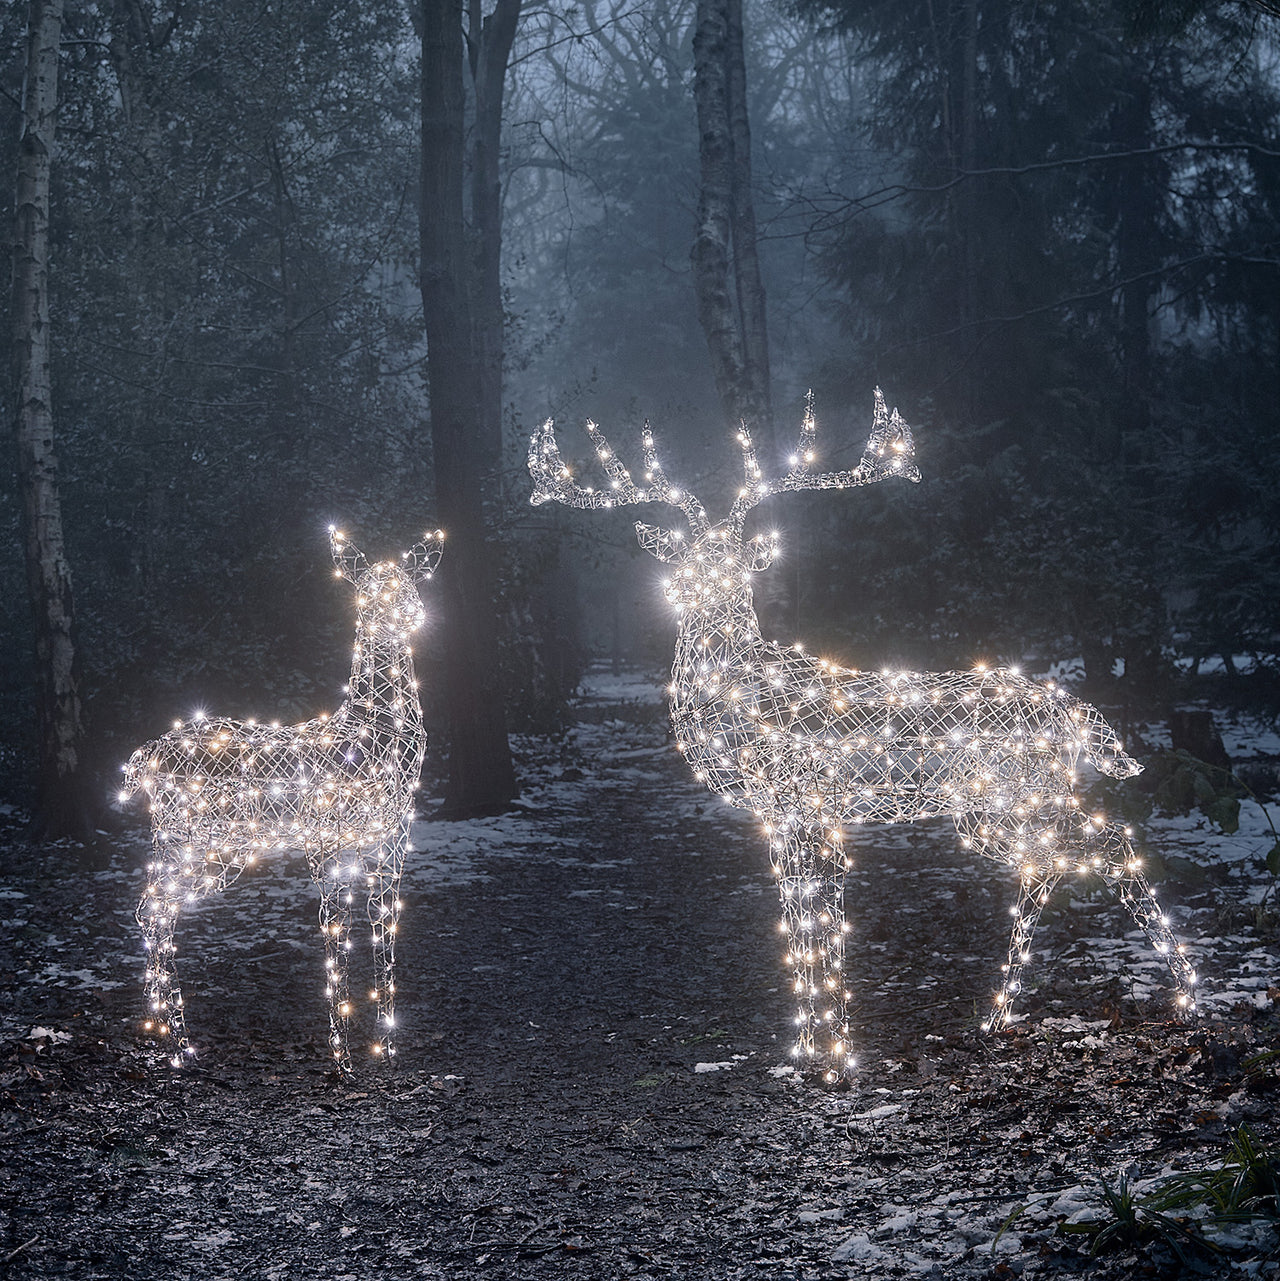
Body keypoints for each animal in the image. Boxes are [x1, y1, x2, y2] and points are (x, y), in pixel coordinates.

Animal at [121, 525, 440, 1065]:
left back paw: (158, 1029)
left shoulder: (390, 844)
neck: (372, 732)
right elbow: (337, 937)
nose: (415, 614)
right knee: (155, 909)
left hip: (183, 844)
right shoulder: (328, 843)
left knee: (151, 908)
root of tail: (142, 761)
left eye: (409, 582)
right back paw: (180, 1041)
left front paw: (386, 1048)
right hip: (200, 843)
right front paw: (343, 1058)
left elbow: (383, 932)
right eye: (370, 590)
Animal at [525, 391, 1194, 1081]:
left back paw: (1174, 998)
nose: (690, 588)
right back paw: (1012, 1013)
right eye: (684, 557)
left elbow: (820, 920)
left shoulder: (804, 804)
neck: (742, 688)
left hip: (1012, 797)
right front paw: (804, 1048)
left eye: (733, 562)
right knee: (1070, 855)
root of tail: (1074, 710)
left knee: (1098, 845)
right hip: (1008, 805)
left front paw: (836, 1054)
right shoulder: (791, 818)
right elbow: (800, 923)